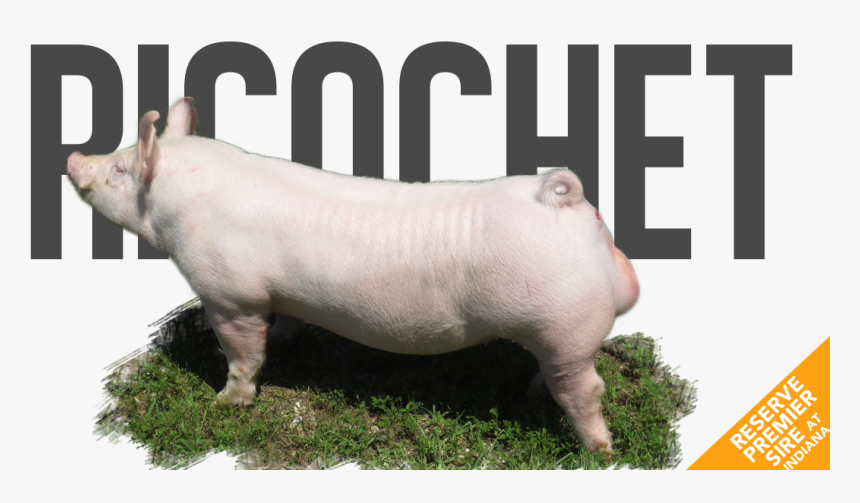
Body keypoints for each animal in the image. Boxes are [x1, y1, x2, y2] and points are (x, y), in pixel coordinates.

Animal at [67, 97, 639, 457]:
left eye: (121, 170)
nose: (74, 156)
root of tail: (569, 205)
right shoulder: (278, 294)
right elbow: (286, 323)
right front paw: (285, 341)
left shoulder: (230, 294)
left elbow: (243, 352)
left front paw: (225, 402)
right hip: (555, 333)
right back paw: (534, 394)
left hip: (564, 326)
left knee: (587, 390)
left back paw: (600, 452)